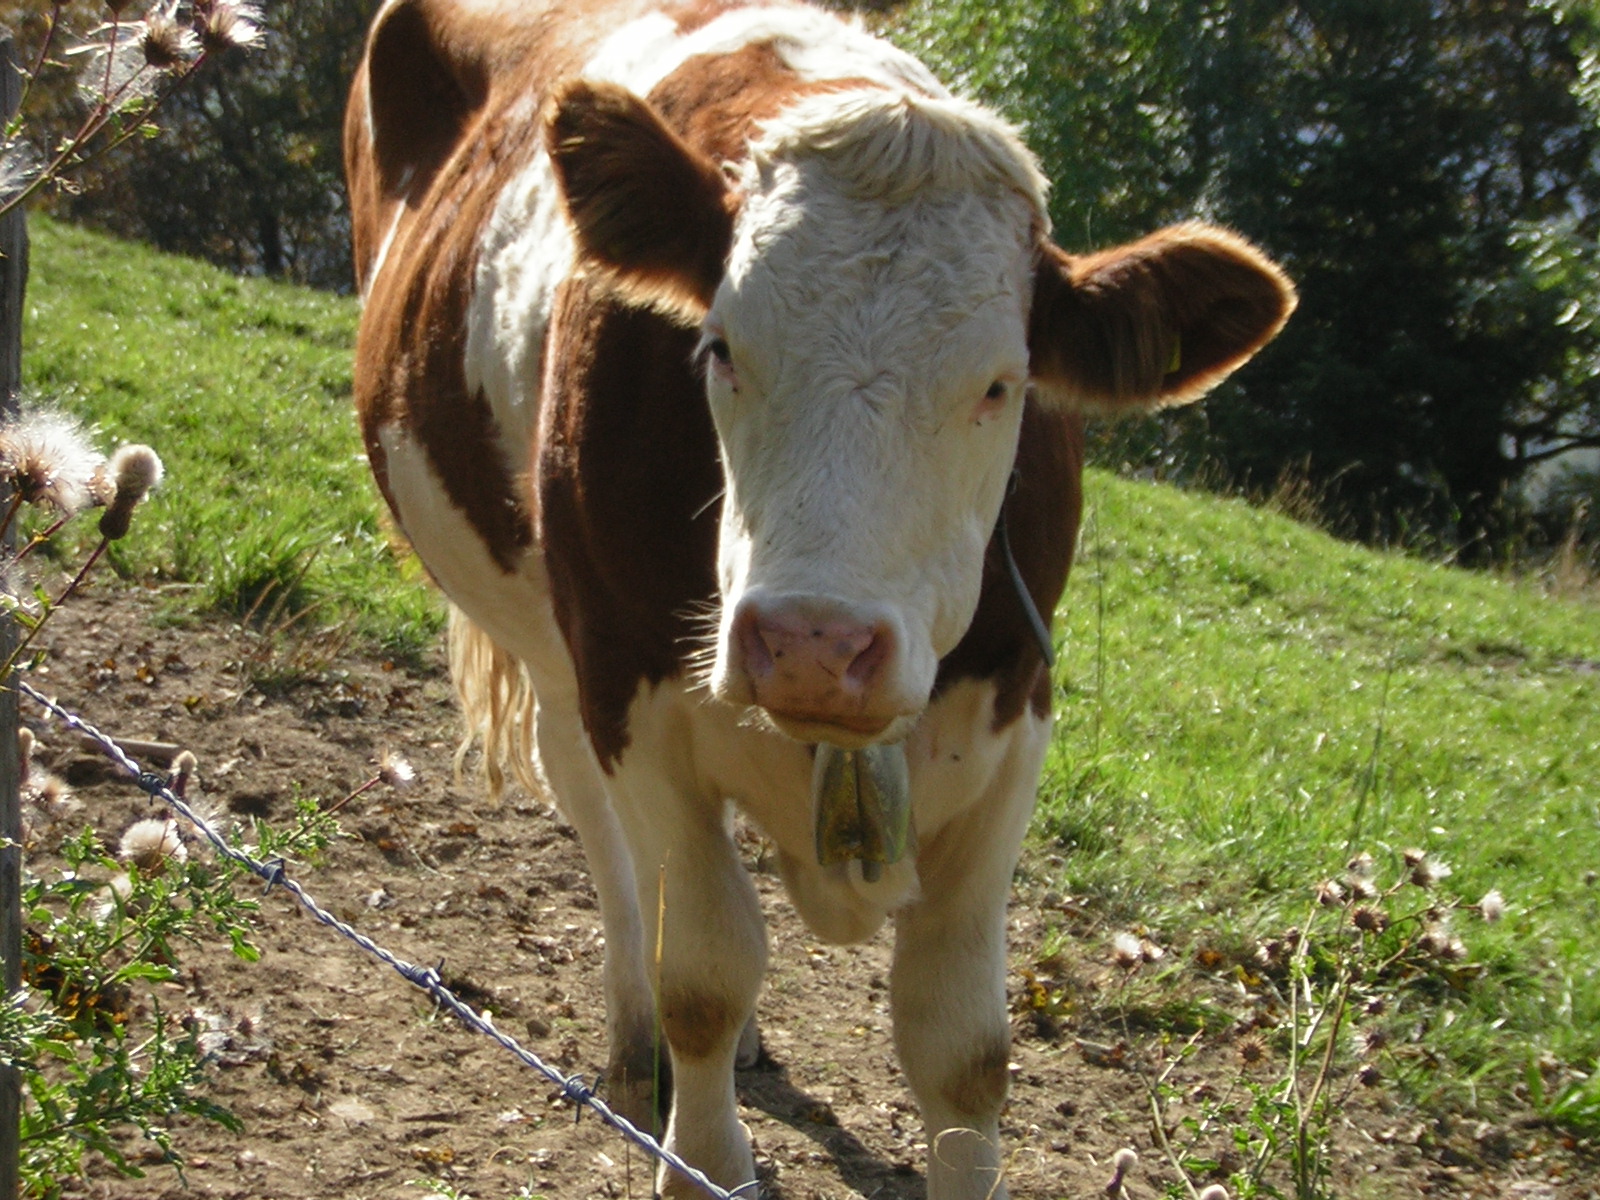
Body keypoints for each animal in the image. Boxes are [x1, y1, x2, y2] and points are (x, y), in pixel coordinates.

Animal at [344, 2, 1295, 1196]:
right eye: (719, 346)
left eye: (1002, 384)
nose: (810, 644)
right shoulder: (633, 686)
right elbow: (705, 971)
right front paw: (700, 1157)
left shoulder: (1015, 721)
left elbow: (961, 1046)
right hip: (555, 647)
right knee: (609, 840)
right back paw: (635, 1044)